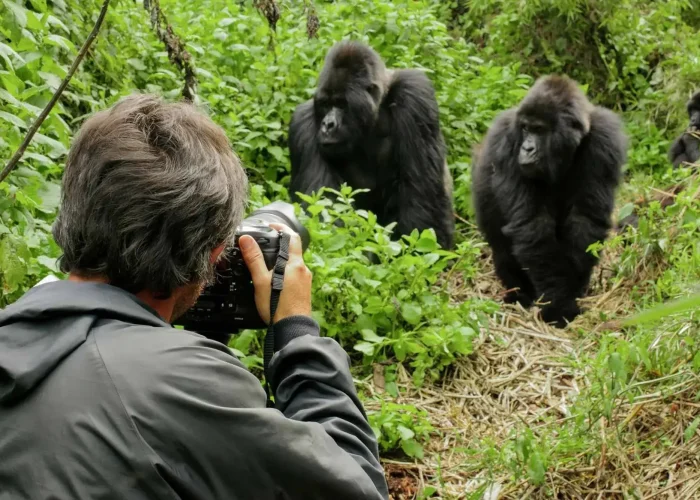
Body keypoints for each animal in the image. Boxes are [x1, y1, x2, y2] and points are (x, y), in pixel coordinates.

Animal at [288, 40, 456, 250]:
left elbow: (421, 197)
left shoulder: (415, 94)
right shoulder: (303, 123)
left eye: (341, 104)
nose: (327, 125)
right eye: (326, 104)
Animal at [470, 73, 628, 324]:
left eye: (539, 129)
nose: (526, 148)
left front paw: (572, 293)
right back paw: (518, 294)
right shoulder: (507, 139)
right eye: (525, 128)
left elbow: (585, 220)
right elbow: (532, 225)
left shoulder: (605, 139)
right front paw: (558, 305)